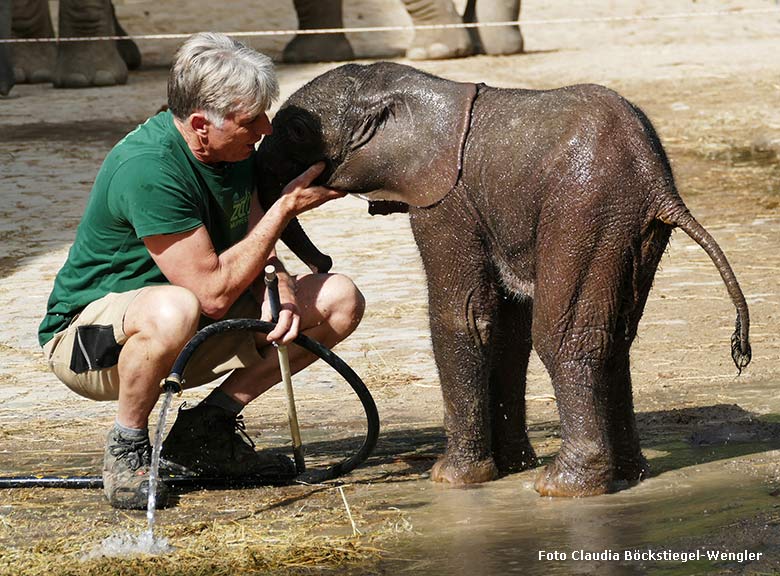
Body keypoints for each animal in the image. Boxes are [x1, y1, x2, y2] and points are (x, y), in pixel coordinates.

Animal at [256, 62, 748, 496]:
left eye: (296, 132)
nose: (323, 262)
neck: (416, 86)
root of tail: (658, 183)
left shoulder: (444, 202)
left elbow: (463, 317)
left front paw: (452, 478)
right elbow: (509, 332)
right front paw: (509, 466)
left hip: (585, 211)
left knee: (562, 337)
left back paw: (564, 488)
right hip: (628, 229)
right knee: (612, 338)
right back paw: (629, 475)